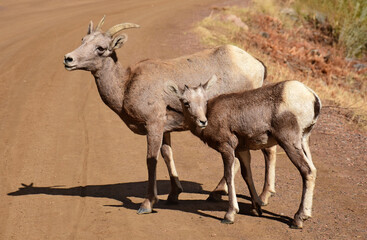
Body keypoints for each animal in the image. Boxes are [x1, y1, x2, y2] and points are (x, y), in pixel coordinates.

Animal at [62, 15, 276, 215]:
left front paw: (147, 204)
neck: (125, 86)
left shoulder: (153, 125)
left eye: (100, 48)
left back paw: (262, 197)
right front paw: (174, 195)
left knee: (267, 150)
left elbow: (151, 159)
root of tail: (257, 65)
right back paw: (219, 193)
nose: (68, 59)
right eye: (83, 40)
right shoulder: (164, 129)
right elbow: (166, 154)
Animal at [167, 75, 322, 229]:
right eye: (186, 102)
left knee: (307, 171)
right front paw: (257, 207)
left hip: (289, 143)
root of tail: (312, 96)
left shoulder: (227, 148)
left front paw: (230, 215)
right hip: (303, 141)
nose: (202, 121)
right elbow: (247, 175)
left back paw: (298, 219)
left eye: (204, 101)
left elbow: (229, 176)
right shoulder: (242, 151)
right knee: (313, 169)